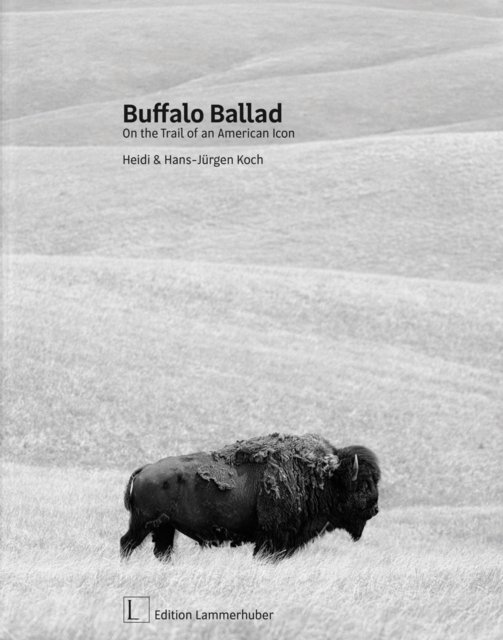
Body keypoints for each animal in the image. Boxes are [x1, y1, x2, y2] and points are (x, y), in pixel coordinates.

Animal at [120, 432, 380, 560]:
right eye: (363, 483)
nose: (375, 508)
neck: (322, 476)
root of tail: (144, 469)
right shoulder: (271, 538)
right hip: (143, 523)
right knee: (126, 543)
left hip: (165, 526)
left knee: (161, 551)